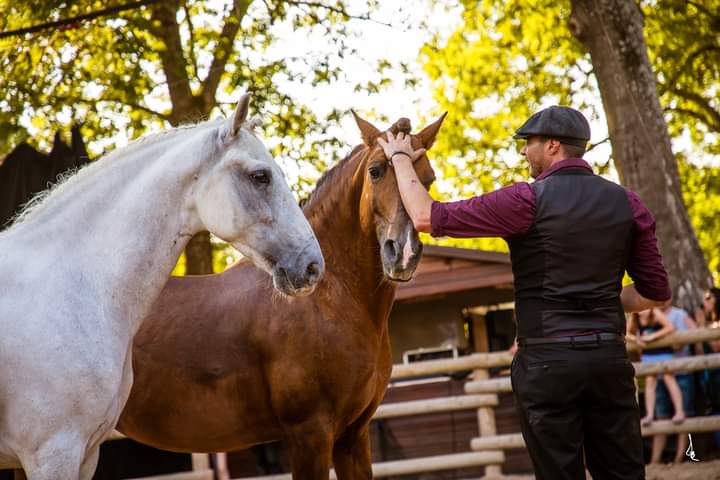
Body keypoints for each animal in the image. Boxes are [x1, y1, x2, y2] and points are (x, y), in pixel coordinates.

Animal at [117, 111, 444, 476]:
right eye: (375, 171)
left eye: (428, 178)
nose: (403, 252)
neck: (330, 299)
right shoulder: (310, 435)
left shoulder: (353, 437)